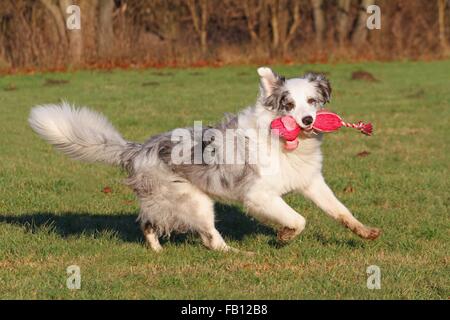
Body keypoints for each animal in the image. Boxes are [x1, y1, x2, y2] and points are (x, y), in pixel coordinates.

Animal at [27, 68, 380, 252]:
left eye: (311, 101)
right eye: (288, 104)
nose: (307, 120)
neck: (286, 143)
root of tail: (138, 148)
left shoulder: (312, 183)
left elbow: (340, 211)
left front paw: (364, 231)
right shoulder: (259, 196)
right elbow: (299, 219)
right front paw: (284, 236)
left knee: (152, 223)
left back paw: (160, 250)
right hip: (193, 200)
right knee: (207, 237)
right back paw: (237, 254)